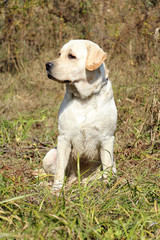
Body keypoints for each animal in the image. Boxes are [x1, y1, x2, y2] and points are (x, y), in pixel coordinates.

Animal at [43, 40, 117, 192]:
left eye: (71, 56)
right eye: (59, 54)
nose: (47, 64)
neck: (84, 98)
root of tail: (78, 179)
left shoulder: (107, 138)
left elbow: (106, 168)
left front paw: (106, 190)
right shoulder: (63, 138)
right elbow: (59, 170)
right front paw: (56, 190)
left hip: (114, 162)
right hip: (50, 155)